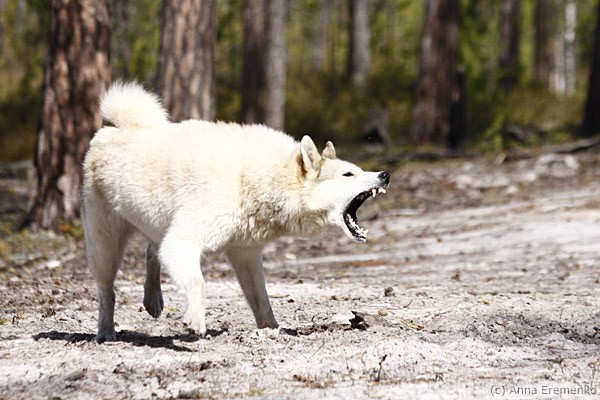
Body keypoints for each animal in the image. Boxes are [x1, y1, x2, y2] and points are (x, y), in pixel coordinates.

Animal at [81, 81, 390, 342]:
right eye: (348, 174)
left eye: (359, 170)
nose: (385, 175)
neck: (253, 179)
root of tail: (111, 129)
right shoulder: (184, 241)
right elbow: (198, 283)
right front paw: (195, 322)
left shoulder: (246, 254)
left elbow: (261, 300)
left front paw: (273, 330)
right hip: (105, 246)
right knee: (107, 290)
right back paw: (106, 333)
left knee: (151, 252)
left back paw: (152, 301)